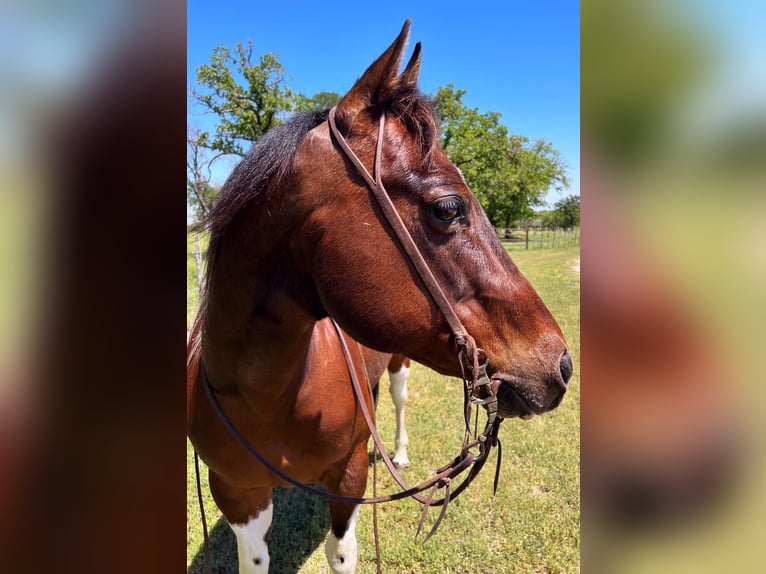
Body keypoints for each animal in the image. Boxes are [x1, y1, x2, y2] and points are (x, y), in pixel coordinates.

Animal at [186, 21, 572, 574]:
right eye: (448, 208)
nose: (560, 363)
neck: (266, 393)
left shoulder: (348, 478)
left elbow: (341, 551)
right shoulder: (239, 497)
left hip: (401, 365)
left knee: (399, 402)